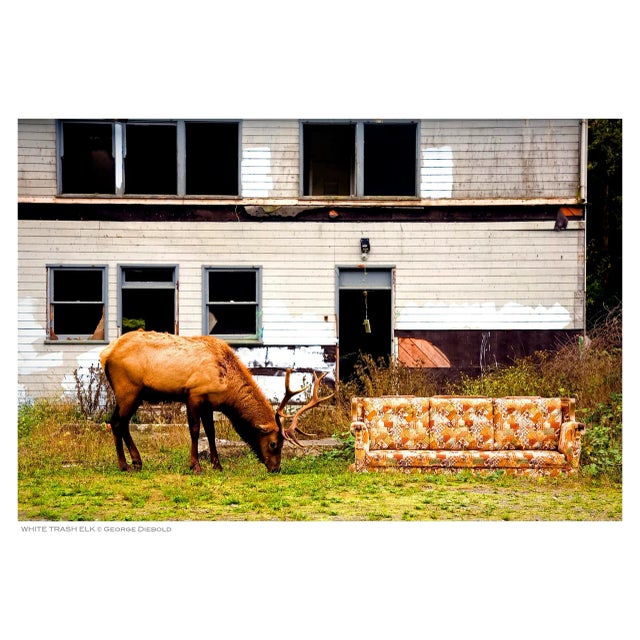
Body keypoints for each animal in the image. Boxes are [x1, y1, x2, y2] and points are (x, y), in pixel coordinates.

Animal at [99, 330, 334, 473]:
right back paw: (124, 465)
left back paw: (137, 461)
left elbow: (211, 432)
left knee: (120, 423)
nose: (276, 468)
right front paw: (195, 466)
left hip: (133, 395)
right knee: (117, 423)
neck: (227, 388)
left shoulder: (209, 403)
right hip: (128, 390)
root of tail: (105, 355)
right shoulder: (194, 395)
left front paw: (217, 465)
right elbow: (195, 431)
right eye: (274, 443)